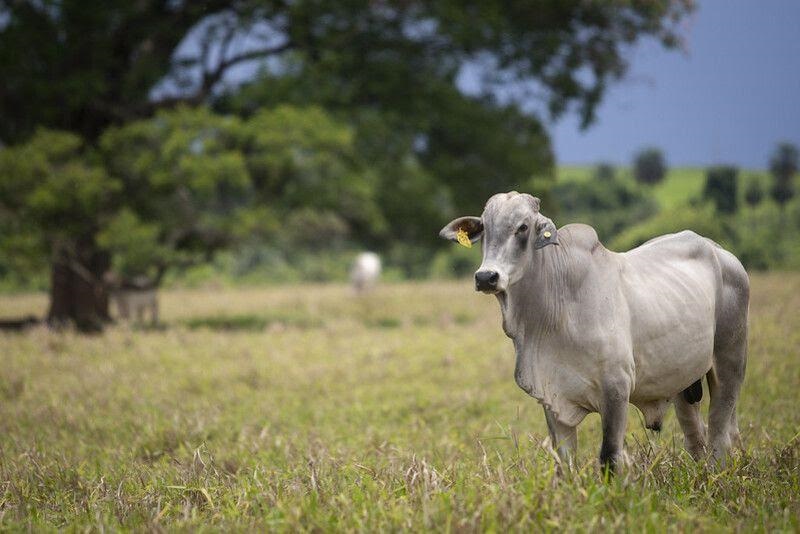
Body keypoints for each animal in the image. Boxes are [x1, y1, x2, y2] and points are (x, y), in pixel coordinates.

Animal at [440, 192, 748, 474]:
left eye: (523, 227)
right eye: (485, 228)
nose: (486, 277)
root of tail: (718, 250)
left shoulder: (616, 389)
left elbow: (609, 456)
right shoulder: (552, 397)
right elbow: (564, 462)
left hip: (730, 362)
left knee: (720, 432)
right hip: (683, 381)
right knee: (696, 437)